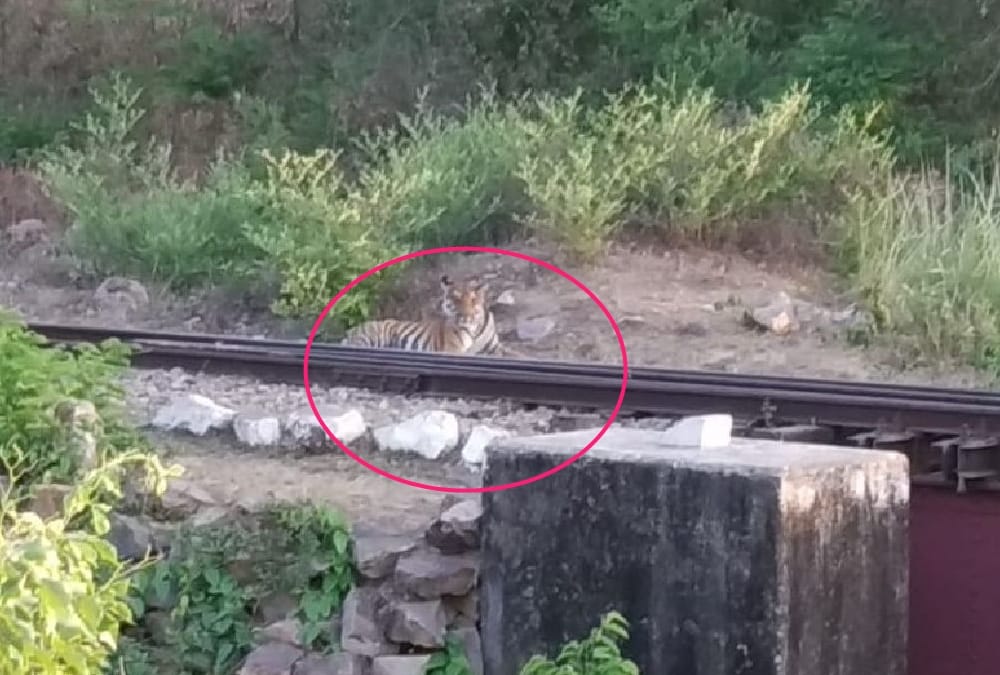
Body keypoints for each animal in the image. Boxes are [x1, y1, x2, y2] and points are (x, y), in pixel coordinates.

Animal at [340, 274, 505, 355]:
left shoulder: (495, 349)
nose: (465, 316)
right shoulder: (452, 350)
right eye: (456, 298)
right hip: (371, 337)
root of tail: (351, 330)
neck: (474, 330)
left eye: (473, 299)